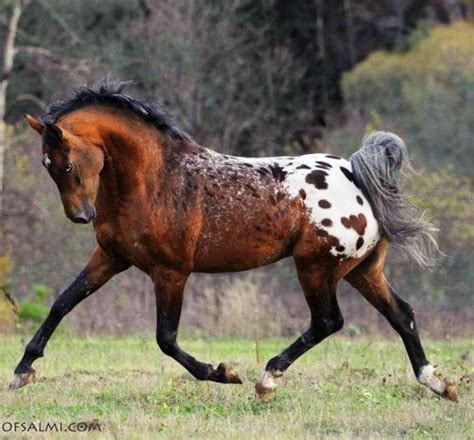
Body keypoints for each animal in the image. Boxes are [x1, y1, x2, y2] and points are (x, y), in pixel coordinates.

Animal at [11, 79, 458, 402]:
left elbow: (165, 339)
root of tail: (355, 175)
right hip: (361, 269)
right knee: (401, 314)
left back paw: (268, 379)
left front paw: (222, 373)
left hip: (316, 267)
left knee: (329, 321)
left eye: (66, 164)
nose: (80, 216)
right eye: (47, 165)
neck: (154, 179)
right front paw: (22, 371)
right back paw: (439, 384)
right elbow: (62, 303)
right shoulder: (110, 257)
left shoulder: (171, 271)